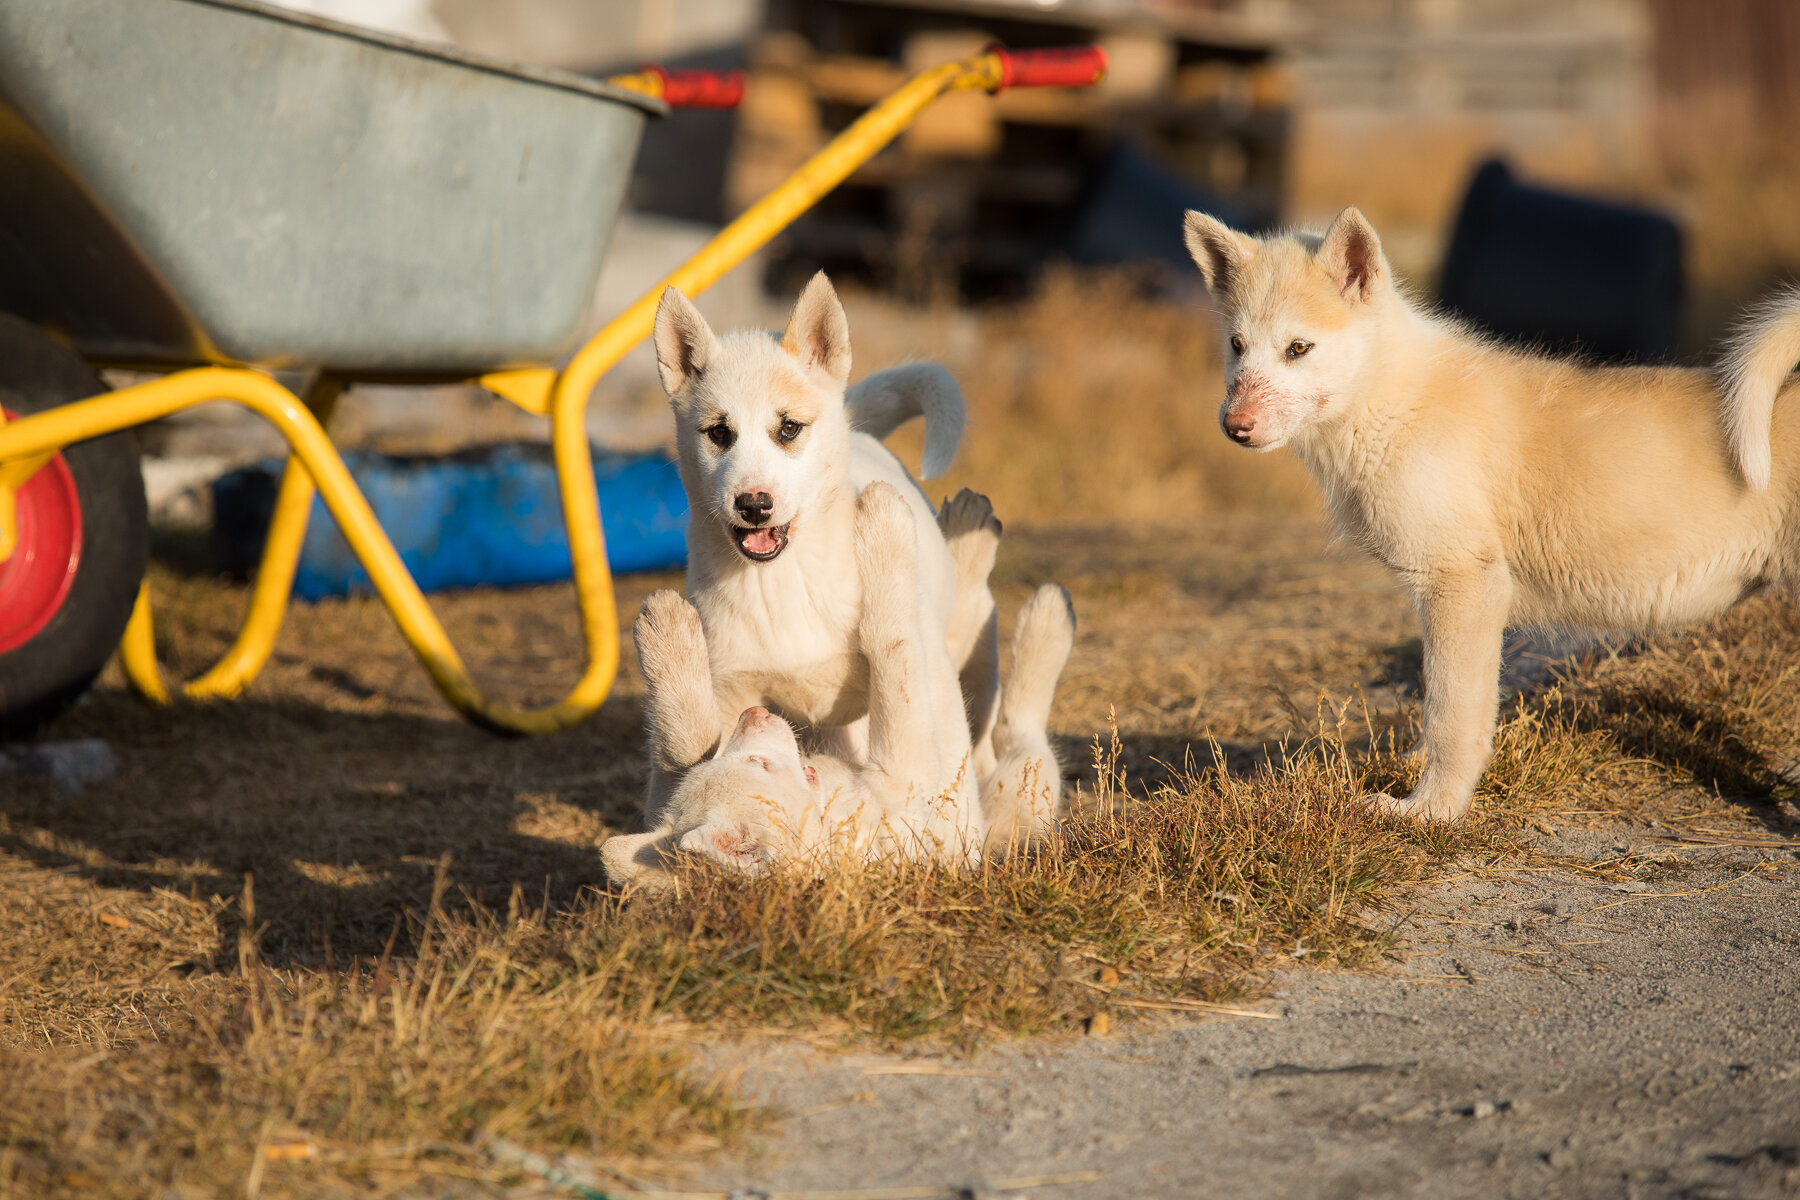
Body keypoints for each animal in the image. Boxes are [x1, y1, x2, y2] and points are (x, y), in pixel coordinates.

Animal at [655, 273, 1008, 820]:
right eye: (719, 432)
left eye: (789, 429)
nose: (753, 505)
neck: (784, 583)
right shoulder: (731, 692)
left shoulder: (926, 680)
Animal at [1180, 204, 1800, 827]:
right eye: (1236, 345)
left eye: (1298, 348)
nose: (1234, 426)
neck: (1394, 400)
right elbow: (1446, 706)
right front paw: (1416, 774)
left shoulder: (1464, 584)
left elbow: (1453, 715)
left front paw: (1430, 810)